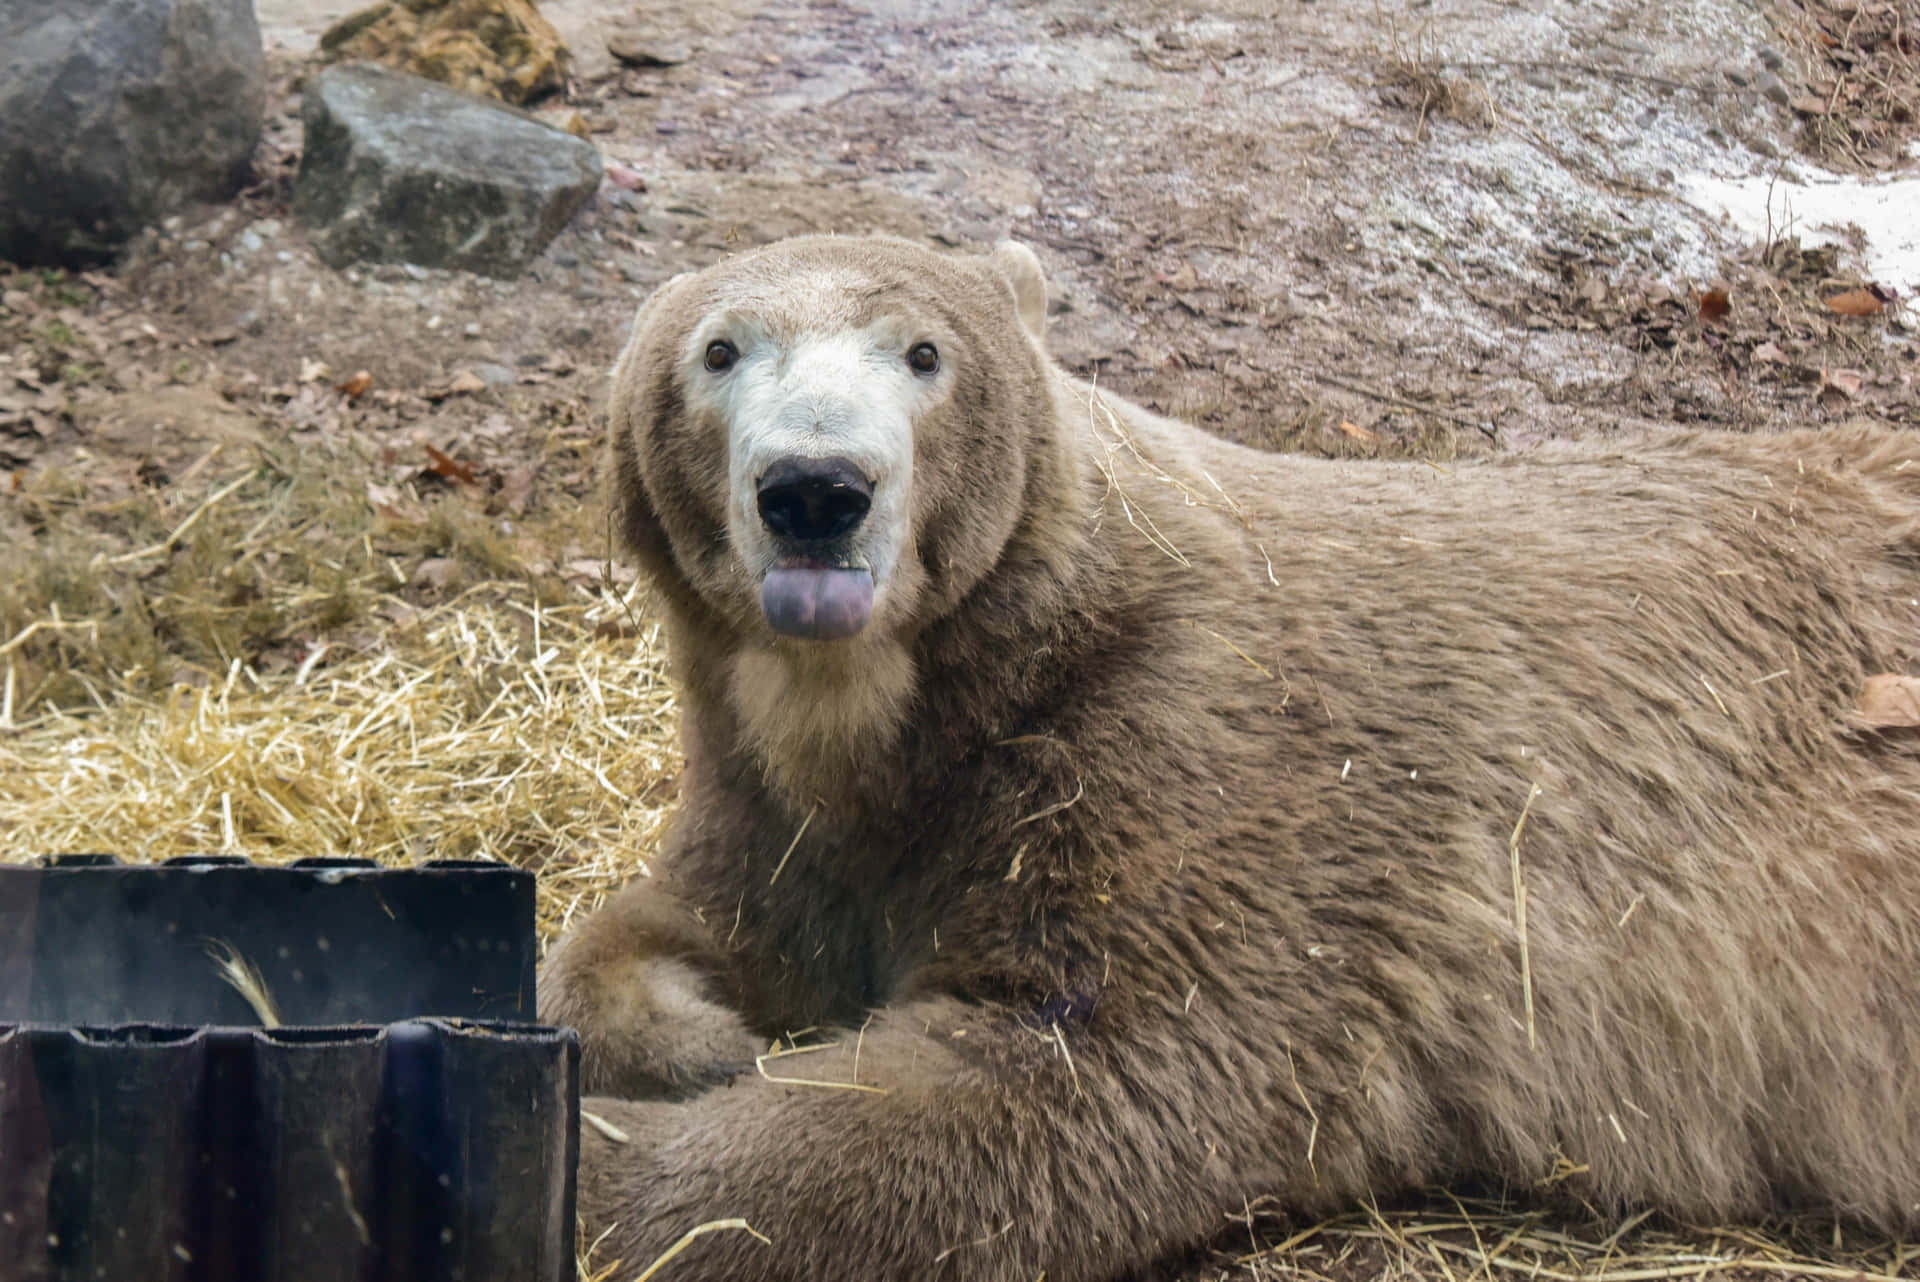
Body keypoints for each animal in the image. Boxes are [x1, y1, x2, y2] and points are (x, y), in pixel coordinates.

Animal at [538, 234, 1920, 1282]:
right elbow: (683, 927)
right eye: (718, 350)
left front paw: (598, 1164)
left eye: (925, 352)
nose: (816, 490)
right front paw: (698, 1032)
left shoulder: (1197, 743)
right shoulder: (781, 795)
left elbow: (1083, 1069)